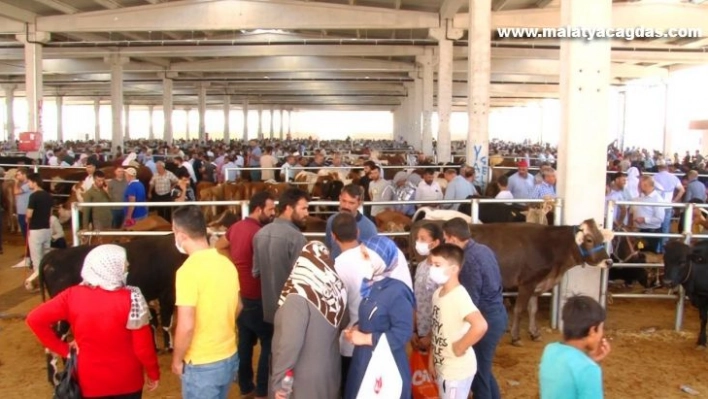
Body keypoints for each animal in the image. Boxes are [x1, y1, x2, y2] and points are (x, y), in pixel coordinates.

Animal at [410, 217, 612, 346]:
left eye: (602, 238)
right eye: (589, 239)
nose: (608, 261)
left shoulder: (537, 284)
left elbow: (533, 309)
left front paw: (534, 333)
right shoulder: (527, 282)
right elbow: (519, 310)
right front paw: (516, 337)